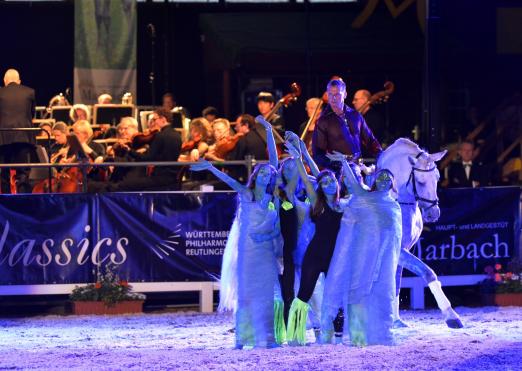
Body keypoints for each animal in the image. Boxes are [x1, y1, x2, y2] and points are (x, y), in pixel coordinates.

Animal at [376, 139, 462, 328]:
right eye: (420, 181)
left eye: (437, 178)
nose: (433, 213)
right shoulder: (398, 250)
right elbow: (428, 272)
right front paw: (451, 316)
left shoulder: (403, 250)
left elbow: (396, 283)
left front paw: (395, 321)